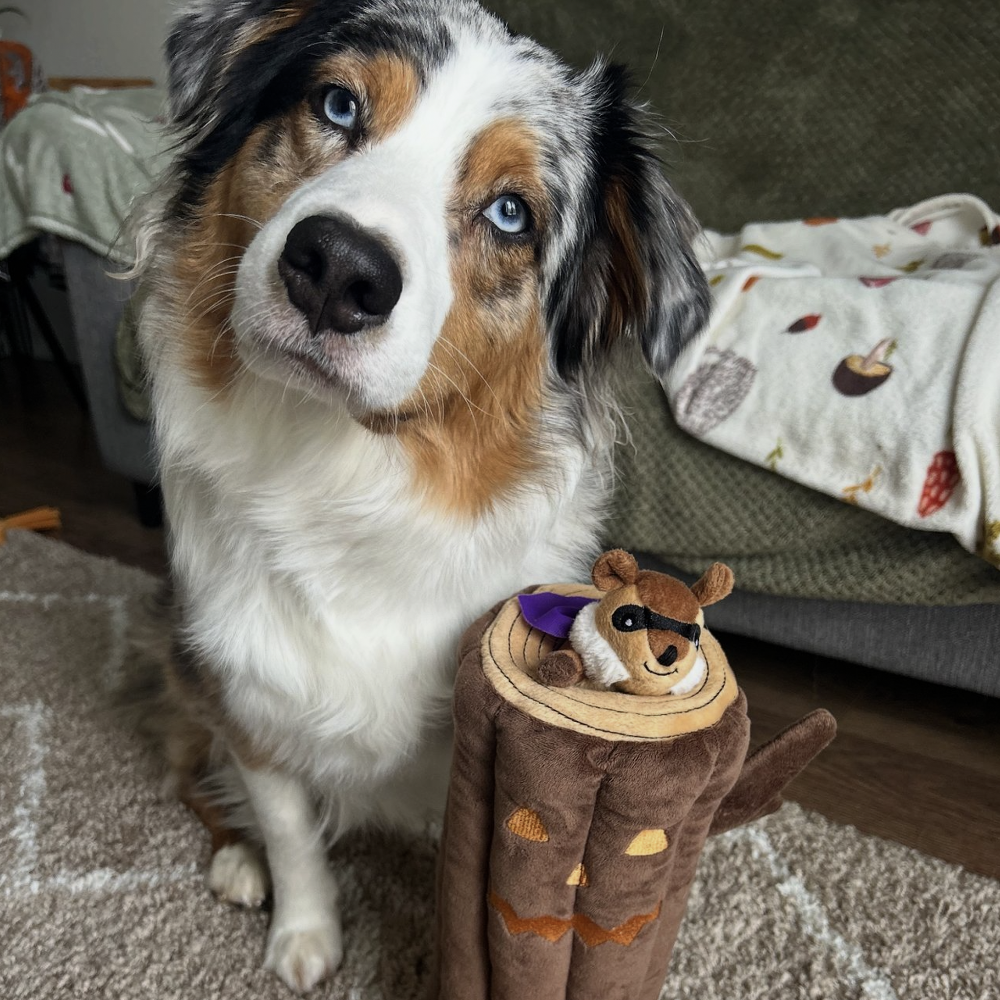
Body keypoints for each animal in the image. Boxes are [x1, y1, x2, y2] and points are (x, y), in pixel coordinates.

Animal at [137, 0, 708, 988]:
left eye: (512, 213)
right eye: (336, 105)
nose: (338, 269)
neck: (338, 478)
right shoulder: (245, 690)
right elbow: (288, 826)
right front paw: (304, 930)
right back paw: (238, 860)